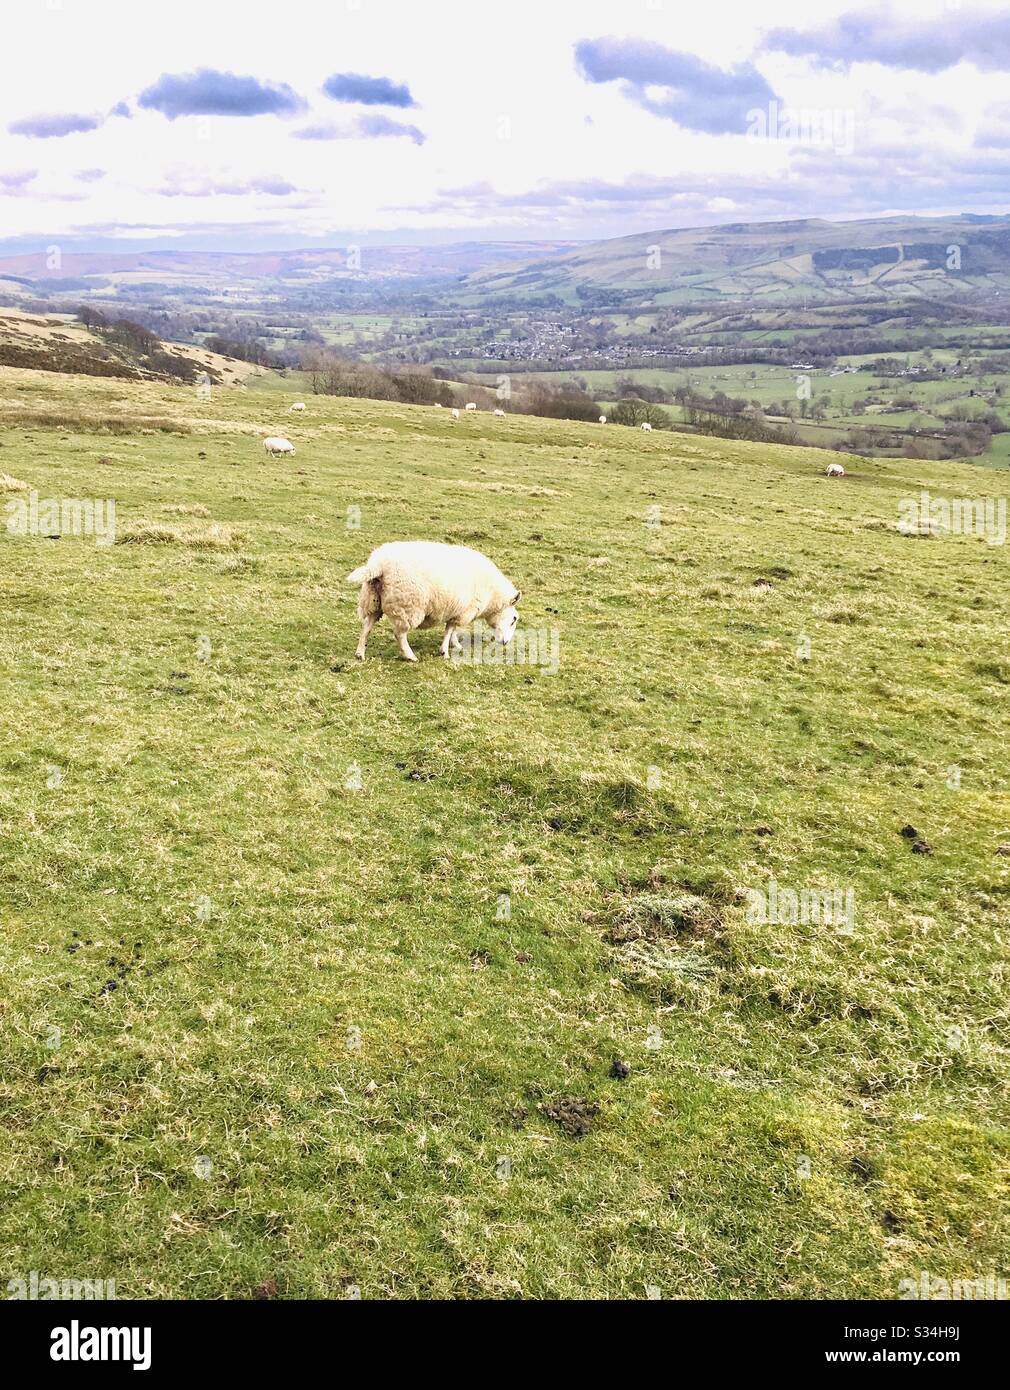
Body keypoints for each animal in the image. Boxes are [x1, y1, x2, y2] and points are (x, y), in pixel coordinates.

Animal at [347, 540, 521, 663]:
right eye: (514, 620)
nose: (506, 643)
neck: (493, 597)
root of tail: (378, 565)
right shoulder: (463, 610)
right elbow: (450, 629)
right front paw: (445, 651)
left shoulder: (457, 610)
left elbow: (452, 629)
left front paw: (455, 644)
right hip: (408, 605)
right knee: (399, 633)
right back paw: (410, 656)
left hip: (373, 600)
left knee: (366, 626)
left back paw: (360, 653)